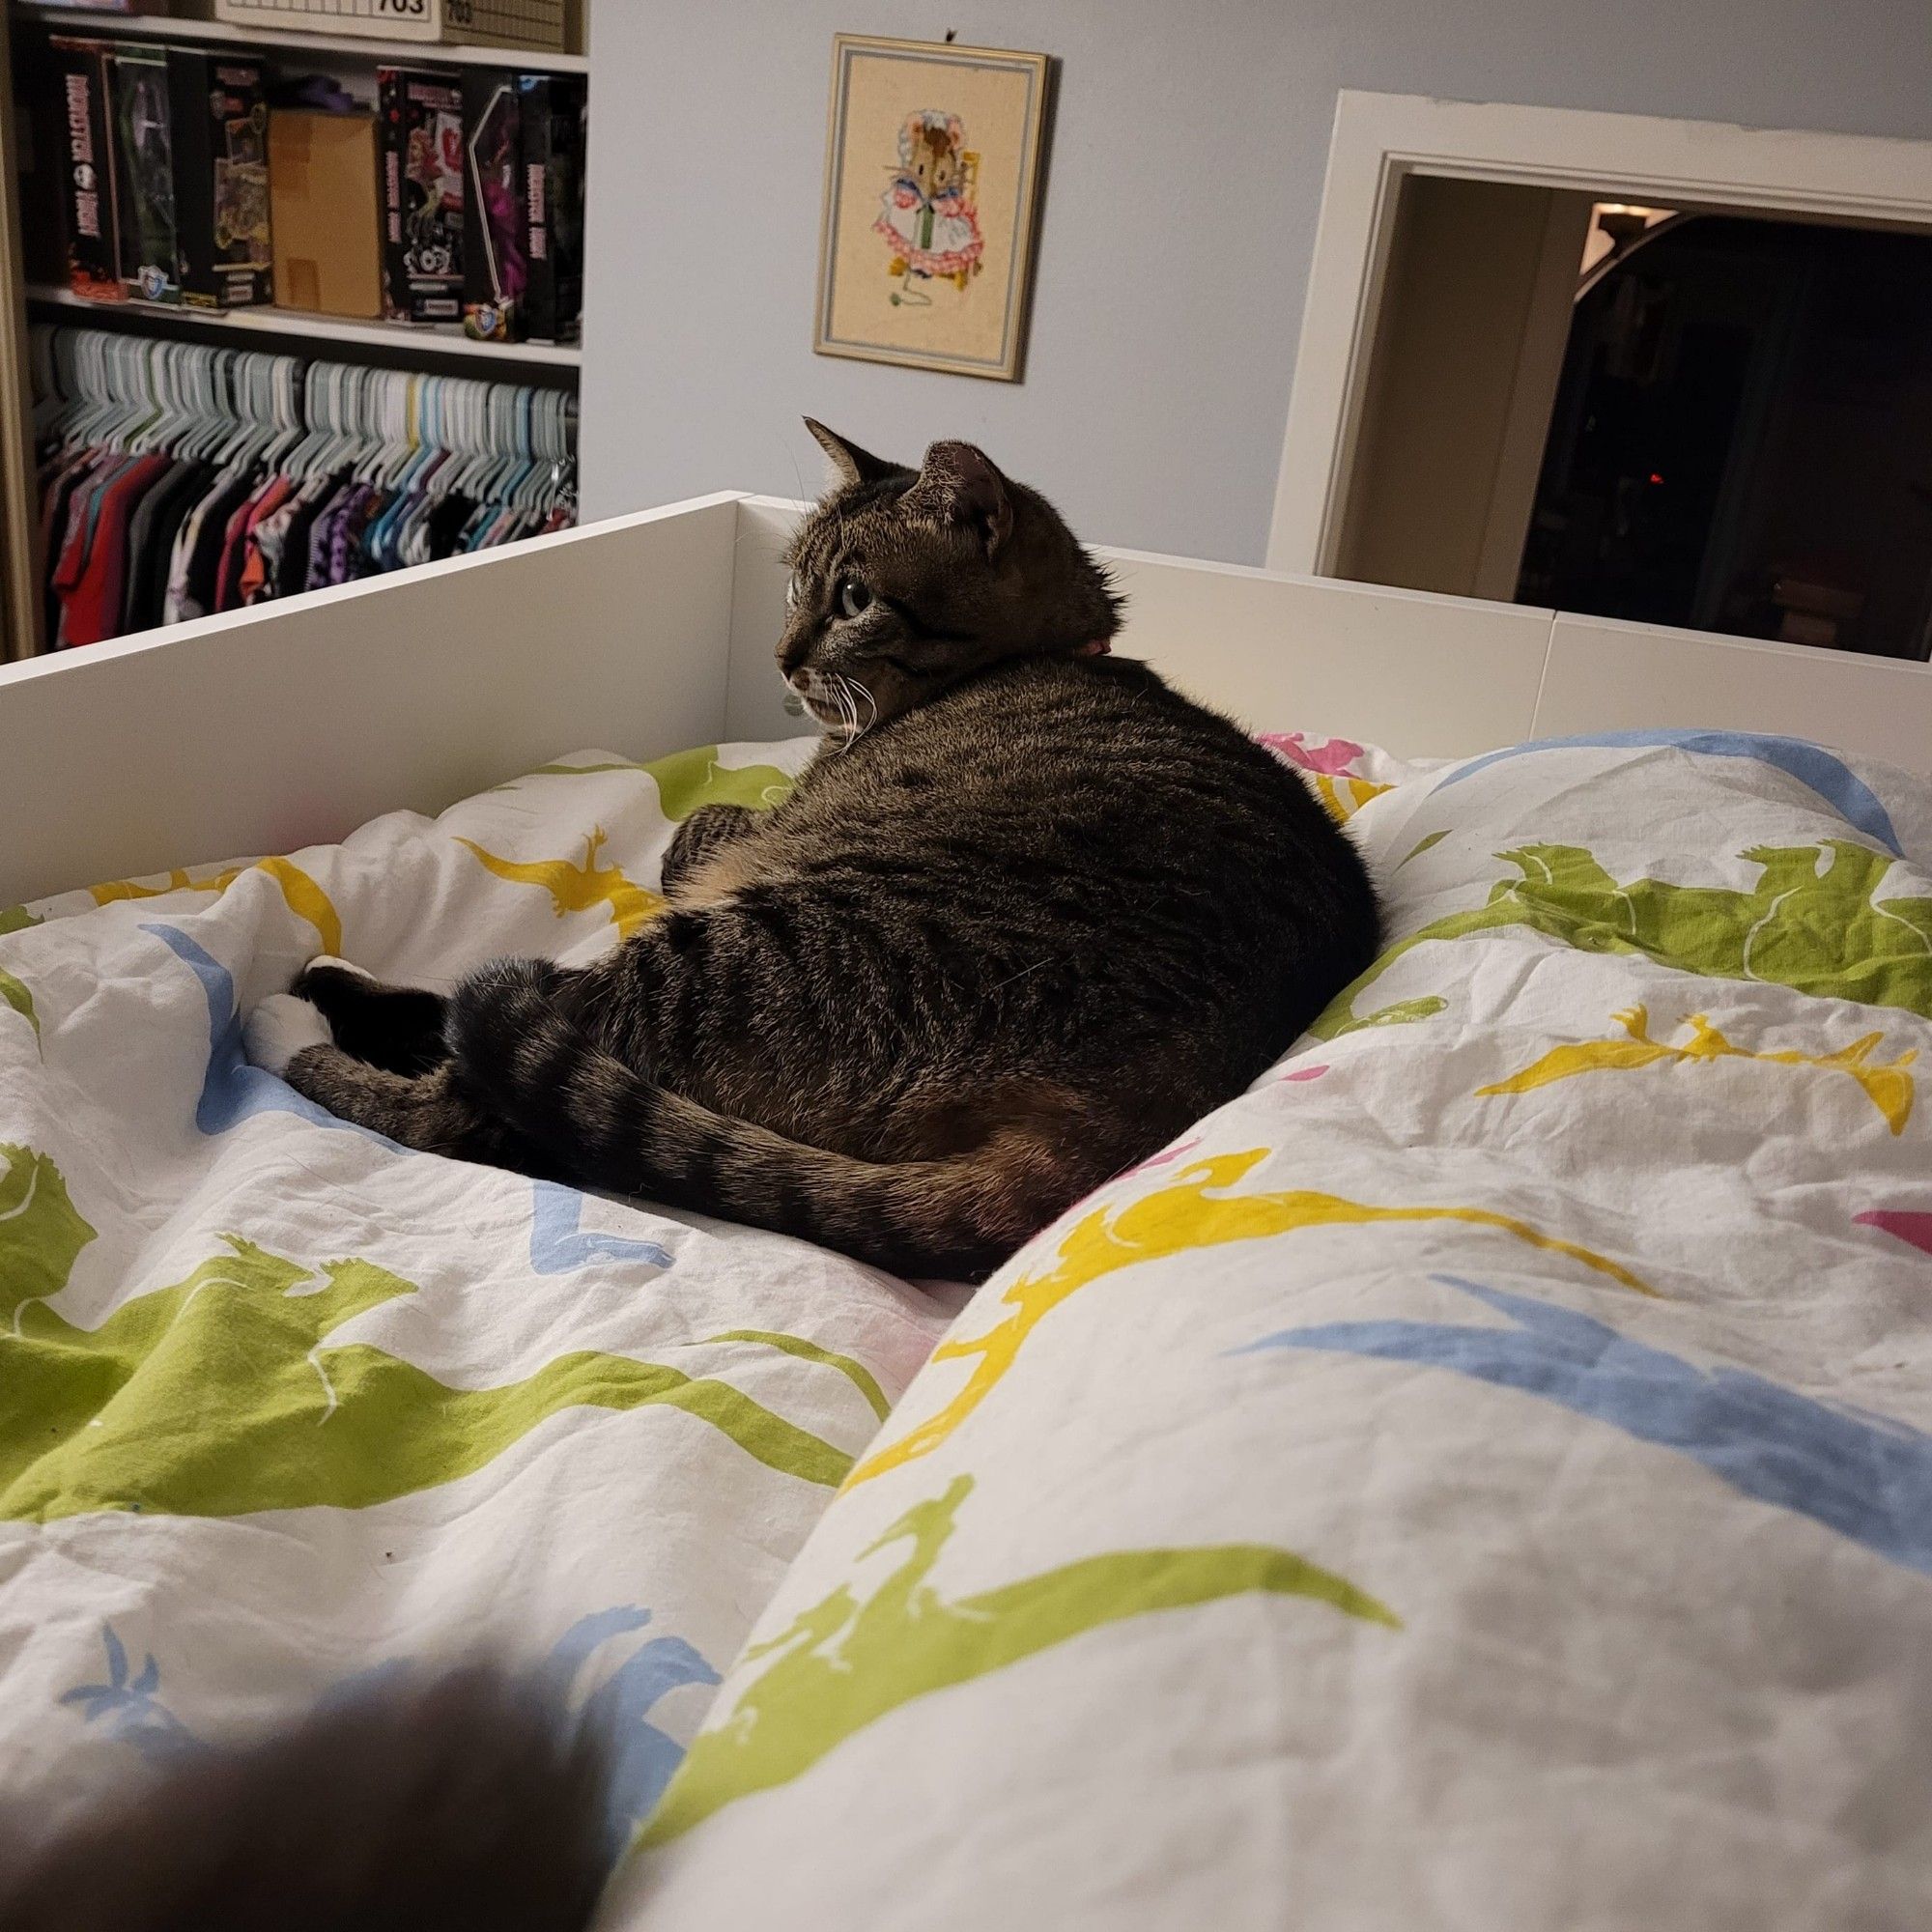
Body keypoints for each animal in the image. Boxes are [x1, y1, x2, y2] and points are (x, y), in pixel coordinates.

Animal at [249, 419, 1383, 1283]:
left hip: (744, 952)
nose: (781, 656)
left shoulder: (741, 841)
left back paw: (290, 1025)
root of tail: (1138, 1103)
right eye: (793, 585)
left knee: (485, 1091)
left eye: (854, 599)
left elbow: (699, 830)